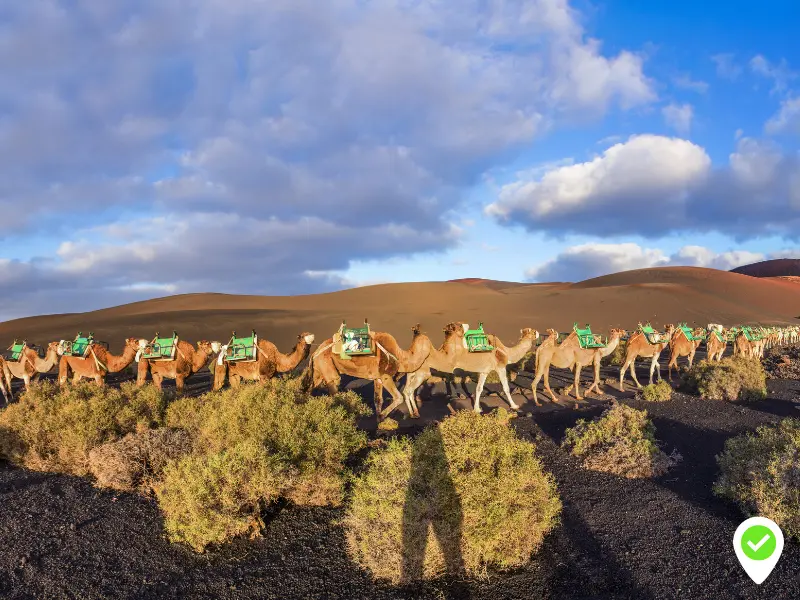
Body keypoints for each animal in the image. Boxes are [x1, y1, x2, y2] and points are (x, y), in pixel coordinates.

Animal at [304, 324, 432, 422]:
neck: (400, 357)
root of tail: (316, 351)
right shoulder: (385, 376)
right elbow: (398, 398)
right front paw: (382, 416)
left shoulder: (377, 378)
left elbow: (378, 400)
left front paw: (378, 418)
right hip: (326, 363)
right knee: (334, 384)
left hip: (319, 369)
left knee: (310, 387)